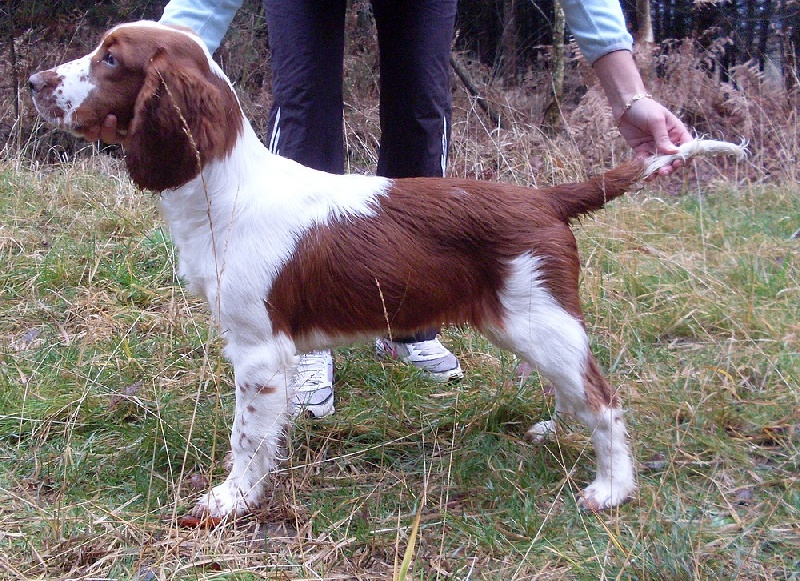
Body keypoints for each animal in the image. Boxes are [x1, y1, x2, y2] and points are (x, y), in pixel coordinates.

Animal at [28, 21, 748, 516]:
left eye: (111, 58)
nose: (33, 83)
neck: (225, 187)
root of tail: (543, 198)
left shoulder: (258, 349)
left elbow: (248, 436)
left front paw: (229, 501)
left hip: (542, 322)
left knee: (604, 399)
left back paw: (611, 487)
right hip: (525, 323)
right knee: (578, 388)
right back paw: (552, 431)